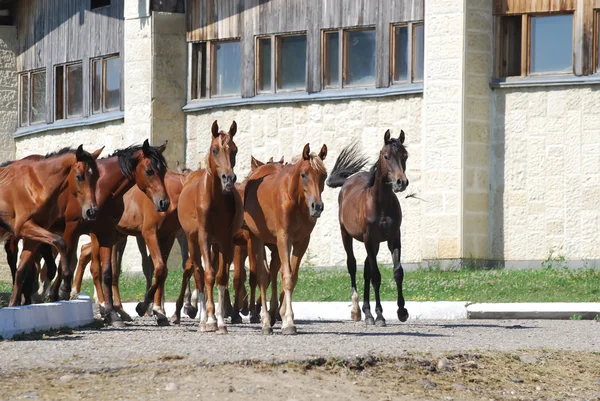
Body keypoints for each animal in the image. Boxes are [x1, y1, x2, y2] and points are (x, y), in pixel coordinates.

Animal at [1, 145, 103, 304]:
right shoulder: (25, 227)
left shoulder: (32, 235)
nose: (91, 211)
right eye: (79, 176)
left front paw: (14, 303)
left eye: (97, 177)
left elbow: (21, 271)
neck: (35, 186)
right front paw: (65, 287)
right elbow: (60, 242)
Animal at [173, 119, 241, 332]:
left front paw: (220, 321)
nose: (229, 178)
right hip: (193, 240)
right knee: (198, 274)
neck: (215, 199)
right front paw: (210, 319)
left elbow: (221, 276)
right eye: (214, 150)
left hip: (215, 245)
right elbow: (208, 274)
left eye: (234, 150)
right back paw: (203, 319)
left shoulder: (225, 240)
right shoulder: (203, 236)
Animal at [243, 142, 328, 332]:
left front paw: (283, 314)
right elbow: (286, 275)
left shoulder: (302, 241)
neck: (295, 199)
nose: (317, 206)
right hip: (256, 238)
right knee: (262, 275)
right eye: (303, 174)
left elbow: (291, 276)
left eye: (324, 175)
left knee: (272, 272)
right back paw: (265, 321)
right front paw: (288, 321)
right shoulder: (284, 238)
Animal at [326, 131, 410, 324]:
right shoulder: (369, 240)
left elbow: (397, 272)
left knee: (366, 270)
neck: (381, 203)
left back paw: (367, 313)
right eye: (386, 156)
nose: (401, 182)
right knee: (352, 265)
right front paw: (380, 316)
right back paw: (357, 311)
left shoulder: (393, 238)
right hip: (347, 235)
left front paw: (401, 312)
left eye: (405, 156)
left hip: (375, 244)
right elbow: (376, 276)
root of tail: (348, 181)